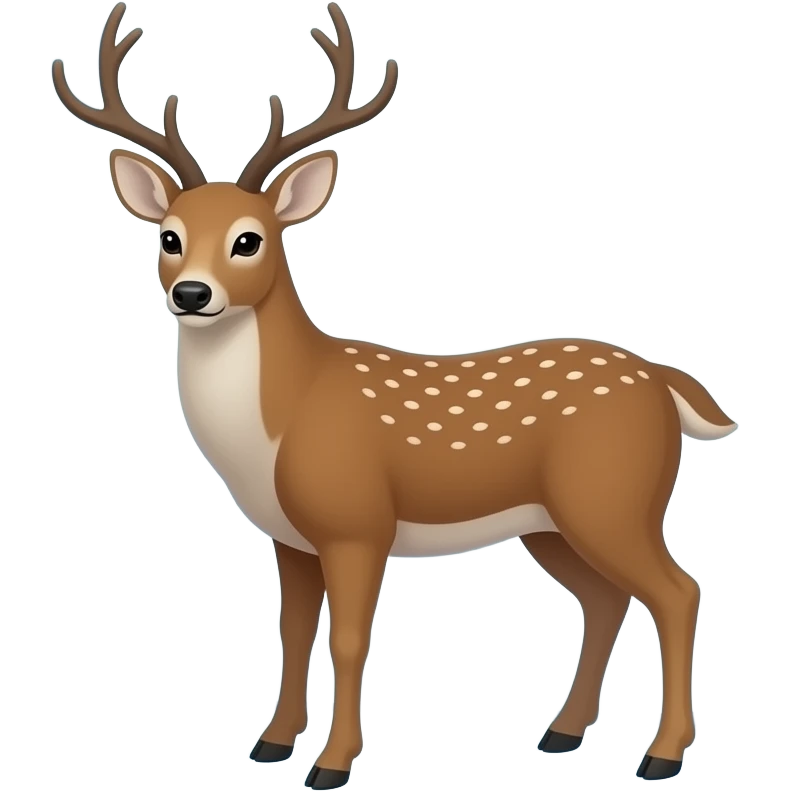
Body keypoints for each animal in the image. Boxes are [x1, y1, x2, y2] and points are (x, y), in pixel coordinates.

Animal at [51, 2, 738, 787]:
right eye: (168, 237)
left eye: (249, 240)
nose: (192, 294)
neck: (280, 424)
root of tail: (664, 380)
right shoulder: (288, 536)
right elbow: (292, 631)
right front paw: (271, 744)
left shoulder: (357, 522)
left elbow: (349, 638)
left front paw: (332, 763)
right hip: (551, 521)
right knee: (605, 598)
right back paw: (562, 733)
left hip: (612, 498)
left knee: (678, 591)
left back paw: (660, 754)